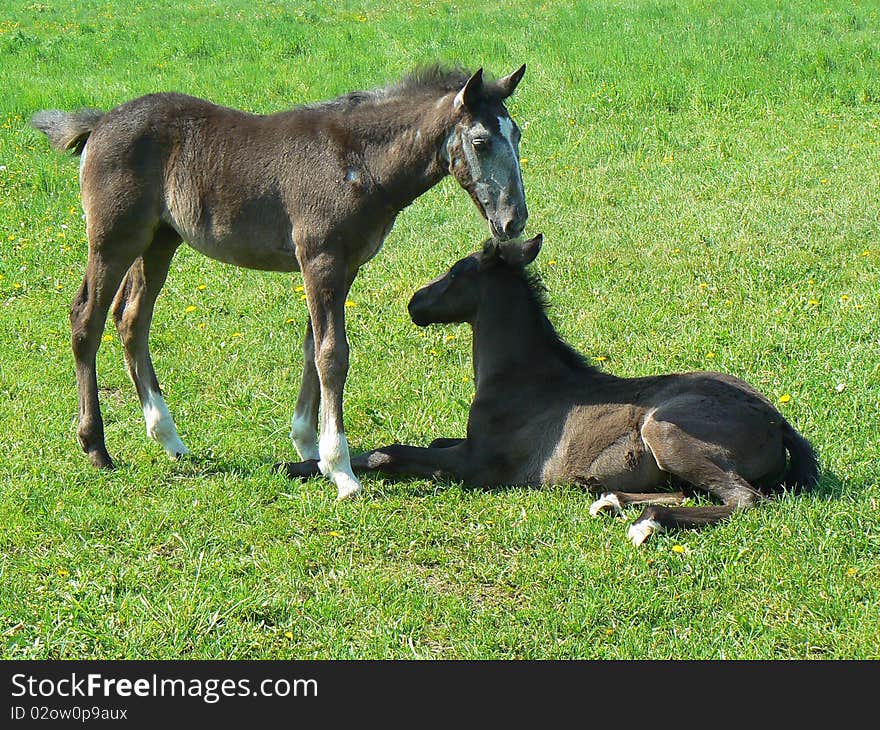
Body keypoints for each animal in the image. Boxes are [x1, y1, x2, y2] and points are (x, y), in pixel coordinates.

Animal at [32, 65, 528, 498]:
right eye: (481, 141)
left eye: (518, 135)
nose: (513, 220)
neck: (360, 163)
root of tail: (99, 123)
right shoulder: (320, 261)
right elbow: (332, 356)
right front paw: (342, 470)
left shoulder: (341, 267)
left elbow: (313, 349)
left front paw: (310, 450)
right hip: (113, 241)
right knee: (87, 319)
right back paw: (96, 447)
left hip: (159, 241)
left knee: (132, 318)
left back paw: (169, 438)